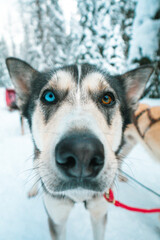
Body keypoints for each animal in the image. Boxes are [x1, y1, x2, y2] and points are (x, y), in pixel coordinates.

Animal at [6, 58, 153, 240]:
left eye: (107, 98)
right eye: (49, 96)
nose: (82, 152)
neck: (79, 195)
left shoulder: (99, 214)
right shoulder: (56, 218)